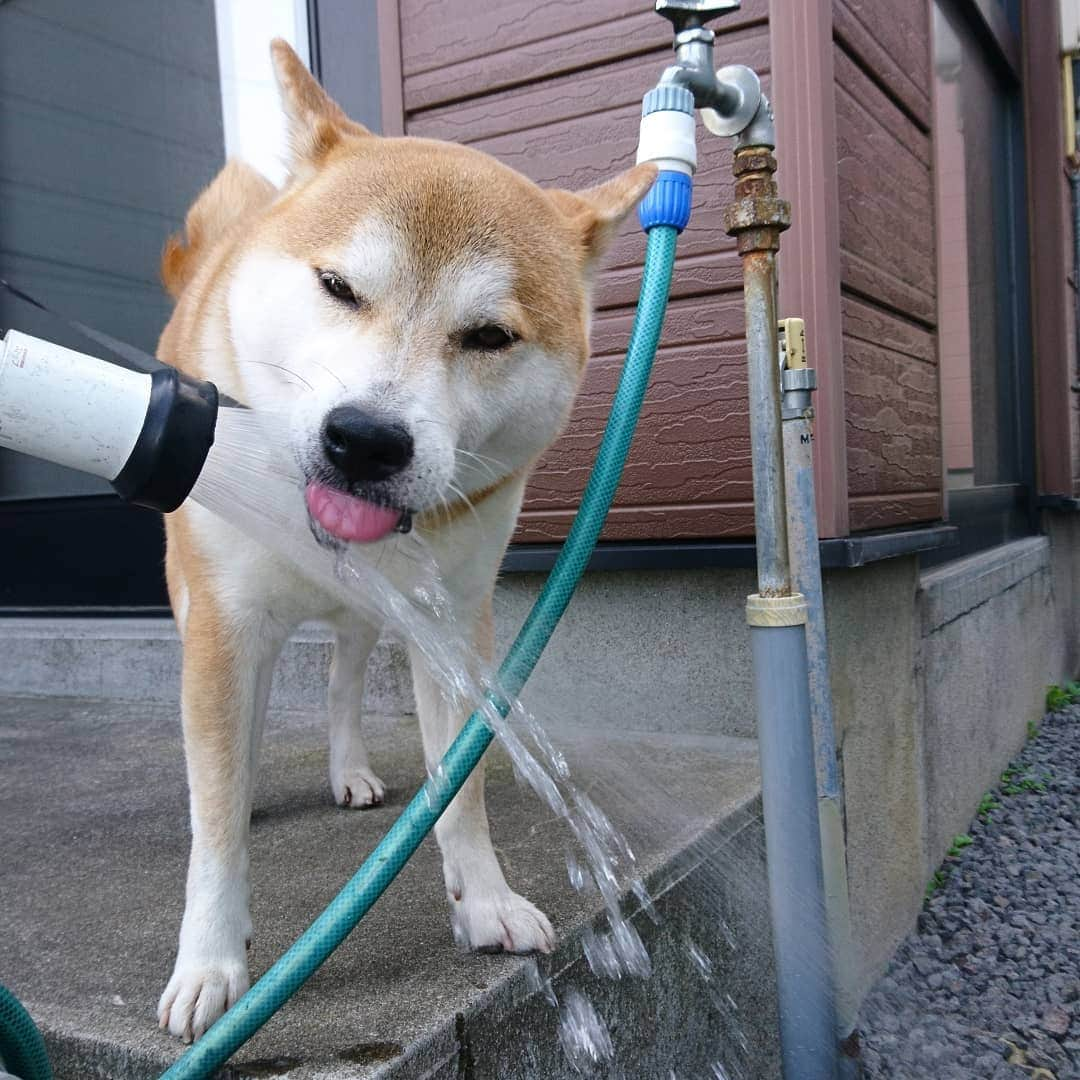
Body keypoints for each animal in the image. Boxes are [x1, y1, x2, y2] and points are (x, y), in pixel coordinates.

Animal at [155, 38, 652, 1041]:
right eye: (338, 287)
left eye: (489, 335)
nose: (367, 438)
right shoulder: (226, 619)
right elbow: (215, 820)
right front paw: (212, 965)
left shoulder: (453, 622)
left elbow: (459, 786)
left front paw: (484, 899)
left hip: (363, 620)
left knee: (343, 686)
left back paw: (349, 770)